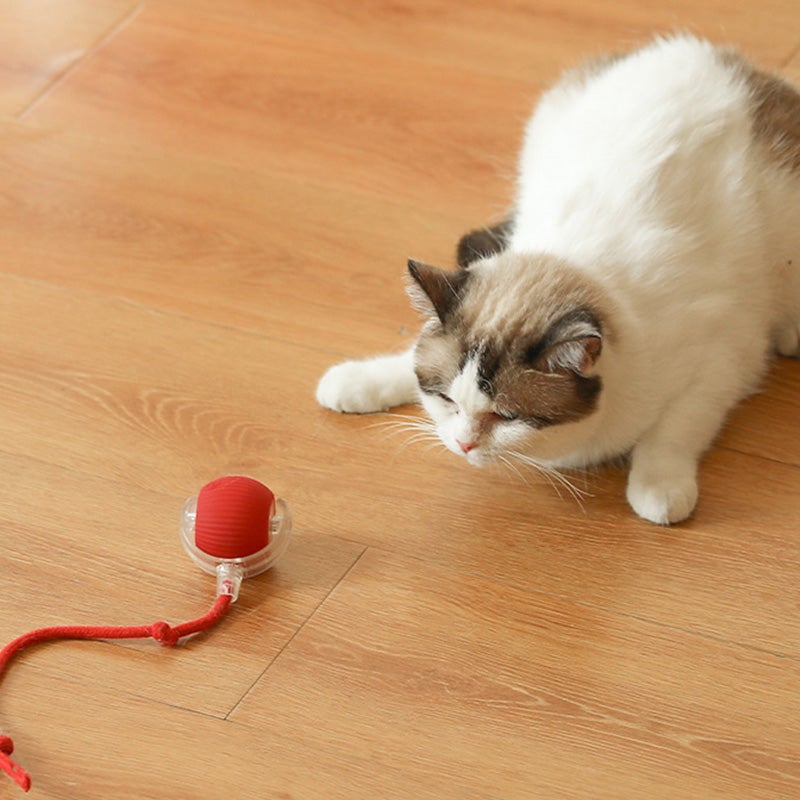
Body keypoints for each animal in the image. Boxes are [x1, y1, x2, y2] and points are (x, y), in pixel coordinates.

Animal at [316, 36, 800, 524]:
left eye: (507, 416)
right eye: (448, 401)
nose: (463, 445)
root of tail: (710, 52)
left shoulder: (724, 361)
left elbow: (675, 430)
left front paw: (658, 490)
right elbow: (403, 363)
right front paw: (355, 382)